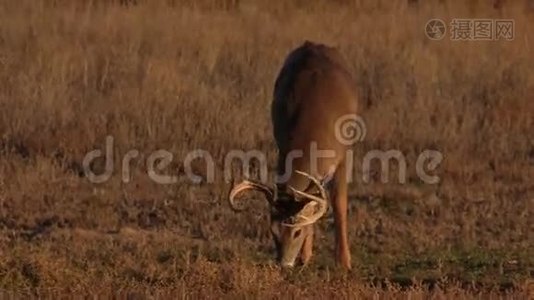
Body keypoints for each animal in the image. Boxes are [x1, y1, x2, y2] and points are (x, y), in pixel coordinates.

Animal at [229, 40, 360, 270]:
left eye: (297, 232)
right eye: (273, 232)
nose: (284, 263)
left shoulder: (344, 154)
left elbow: (339, 203)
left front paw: (344, 261)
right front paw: (305, 256)